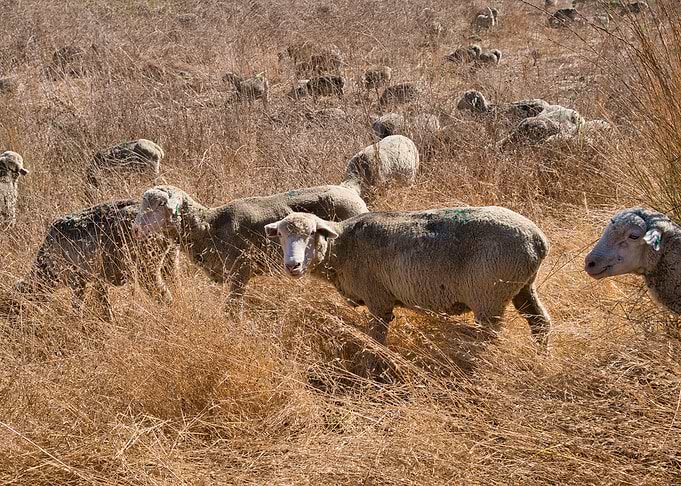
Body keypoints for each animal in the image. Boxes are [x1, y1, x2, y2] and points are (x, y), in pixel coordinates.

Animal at [13, 200, 178, 321]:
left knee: (165, 296)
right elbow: (104, 304)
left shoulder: (77, 279)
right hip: (170, 262)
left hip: (146, 269)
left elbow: (78, 306)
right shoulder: (98, 278)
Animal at [131, 184, 368, 311]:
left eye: (160, 204)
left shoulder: (240, 272)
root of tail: (354, 195)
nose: (135, 229)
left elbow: (233, 311)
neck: (210, 227)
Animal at [264, 207, 551, 375]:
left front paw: (370, 372)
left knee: (490, 339)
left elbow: (375, 340)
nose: (292, 265)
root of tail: (537, 239)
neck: (342, 247)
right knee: (540, 323)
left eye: (312, 233)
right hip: (524, 286)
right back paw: (543, 360)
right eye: (281, 235)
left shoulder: (379, 300)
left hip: (489, 296)